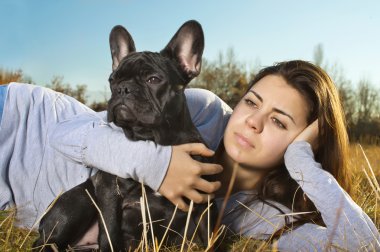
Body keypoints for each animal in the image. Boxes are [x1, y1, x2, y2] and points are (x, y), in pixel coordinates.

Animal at [33, 20, 217, 252]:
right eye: (112, 80)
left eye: (153, 79)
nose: (123, 89)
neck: (157, 140)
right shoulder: (109, 192)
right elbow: (110, 231)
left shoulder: (204, 200)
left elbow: (209, 235)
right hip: (80, 200)